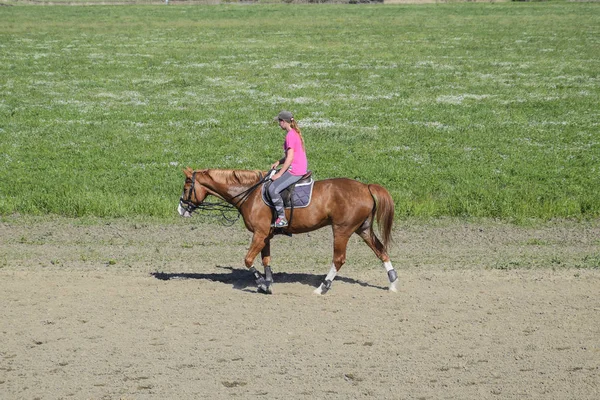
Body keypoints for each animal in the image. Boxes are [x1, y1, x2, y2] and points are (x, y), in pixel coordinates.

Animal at [178, 167, 398, 296]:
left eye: (186, 188)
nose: (180, 209)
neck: (250, 193)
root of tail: (365, 187)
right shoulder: (265, 235)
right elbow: (265, 260)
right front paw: (268, 282)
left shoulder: (259, 234)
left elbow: (248, 260)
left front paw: (261, 283)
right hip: (363, 229)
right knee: (381, 250)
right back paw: (393, 283)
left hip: (342, 230)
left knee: (339, 259)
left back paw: (323, 287)